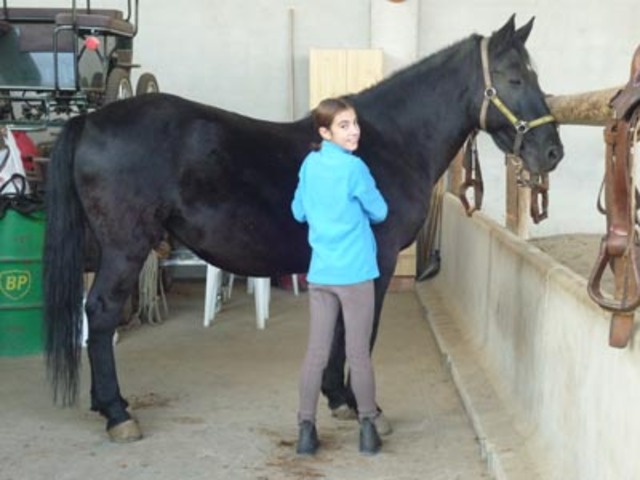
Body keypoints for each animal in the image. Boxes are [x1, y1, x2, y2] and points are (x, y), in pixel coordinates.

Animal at [43, 15, 563, 441]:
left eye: (536, 75)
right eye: (514, 77)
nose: (552, 151)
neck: (387, 144)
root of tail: (91, 119)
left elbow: (339, 329)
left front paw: (337, 399)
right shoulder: (378, 261)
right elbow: (360, 331)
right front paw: (364, 408)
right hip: (125, 248)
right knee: (101, 312)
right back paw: (117, 413)